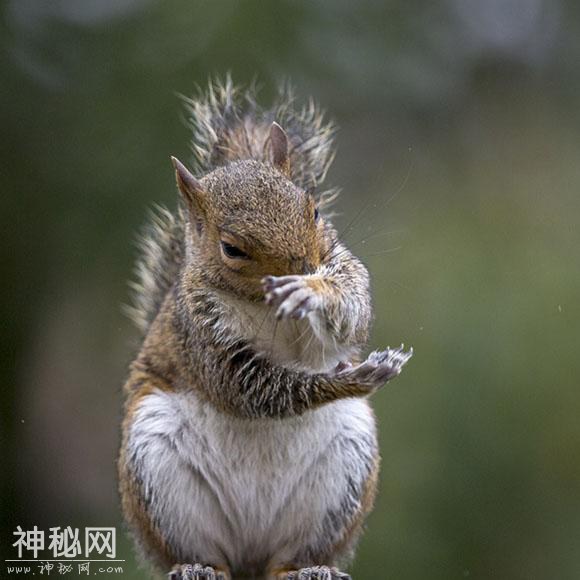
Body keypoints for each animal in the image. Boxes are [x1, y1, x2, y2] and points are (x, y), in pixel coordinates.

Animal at [118, 78, 412, 580]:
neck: (265, 306)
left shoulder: (343, 269)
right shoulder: (202, 334)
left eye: (314, 211)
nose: (303, 267)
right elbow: (250, 389)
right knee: (202, 552)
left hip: (340, 482)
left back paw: (307, 570)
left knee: (289, 558)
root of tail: (251, 557)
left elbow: (349, 316)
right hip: (156, 468)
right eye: (232, 248)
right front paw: (353, 378)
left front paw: (313, 292)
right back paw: (198, 568)